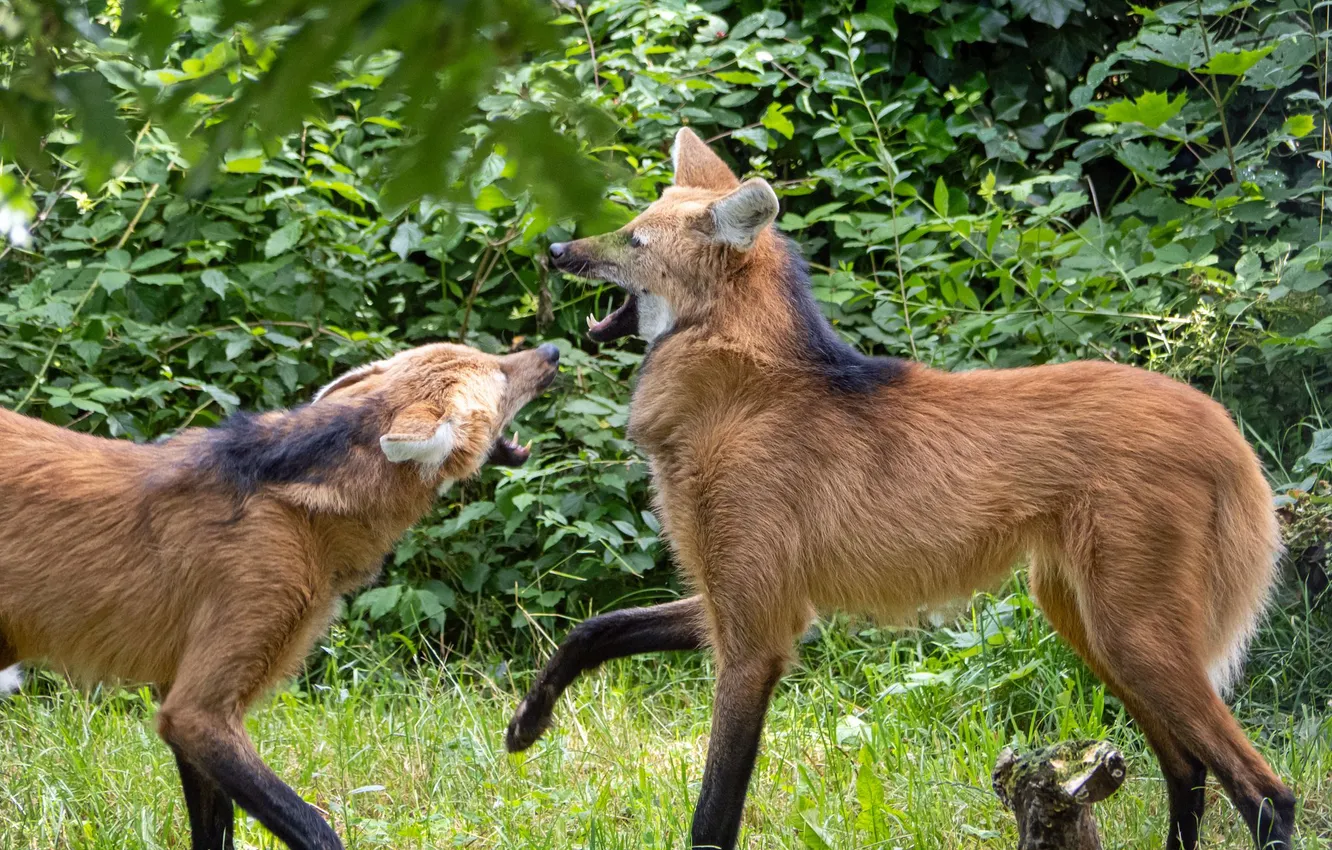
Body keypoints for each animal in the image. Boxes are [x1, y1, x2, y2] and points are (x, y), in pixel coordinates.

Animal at [508, 128, 1293, 850]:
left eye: (634, 239)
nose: (557, 251)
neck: (738, 392)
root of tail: (1221, 425)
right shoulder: (743, 599)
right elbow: (595, 628)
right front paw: (526, 724)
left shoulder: (757, 634)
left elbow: (713, 813)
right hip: (1084, 614)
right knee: (1188, 768)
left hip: (1131, 630)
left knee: (1263, 791)